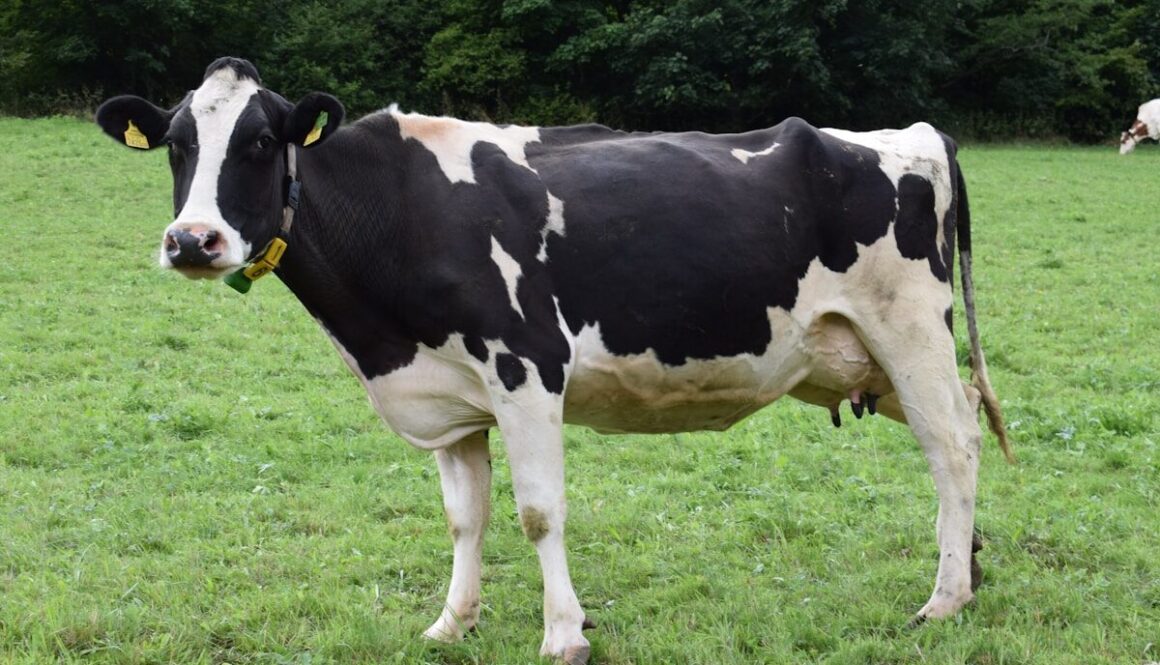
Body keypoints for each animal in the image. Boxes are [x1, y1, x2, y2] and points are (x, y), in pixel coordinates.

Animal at [96, 57, 1012, 664]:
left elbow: (538, 510)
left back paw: (942, 599)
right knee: (961, 431)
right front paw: (452, 622)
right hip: (869, 358)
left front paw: (563, 633)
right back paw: (968, 567)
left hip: (910, 332)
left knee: (954, 447)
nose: (193, 240)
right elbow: (465, 516)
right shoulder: (451, 397)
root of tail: (913, 133)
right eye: (176, 144)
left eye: (259, 141)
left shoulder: (526, 368)